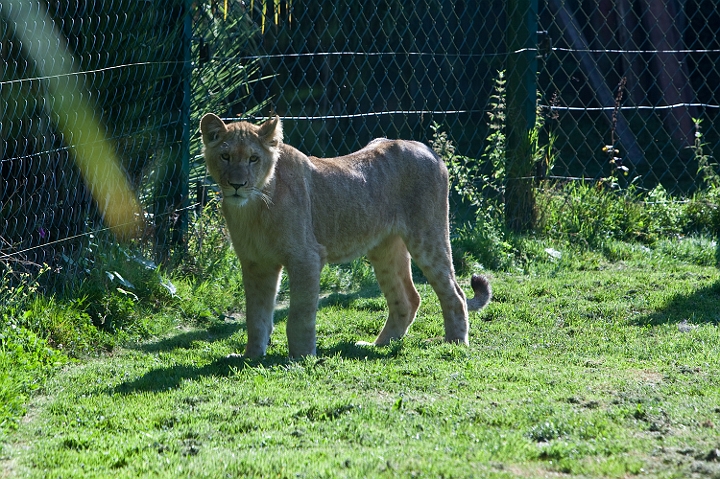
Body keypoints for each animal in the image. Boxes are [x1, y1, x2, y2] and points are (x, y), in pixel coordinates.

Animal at [200, 113, 491, 358]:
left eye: (253, 158)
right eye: (225, 156)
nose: (237, 185)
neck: (253, 208)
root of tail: (429, 149)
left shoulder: (306, 258)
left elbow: (300, 315)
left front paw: (301, 358)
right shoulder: (255, 264)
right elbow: (256, 316)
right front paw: (251, 356)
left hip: (427, 236)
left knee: (455, 293)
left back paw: (455, 344)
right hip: (384, 249)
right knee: (408, 299)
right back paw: (378, 344)